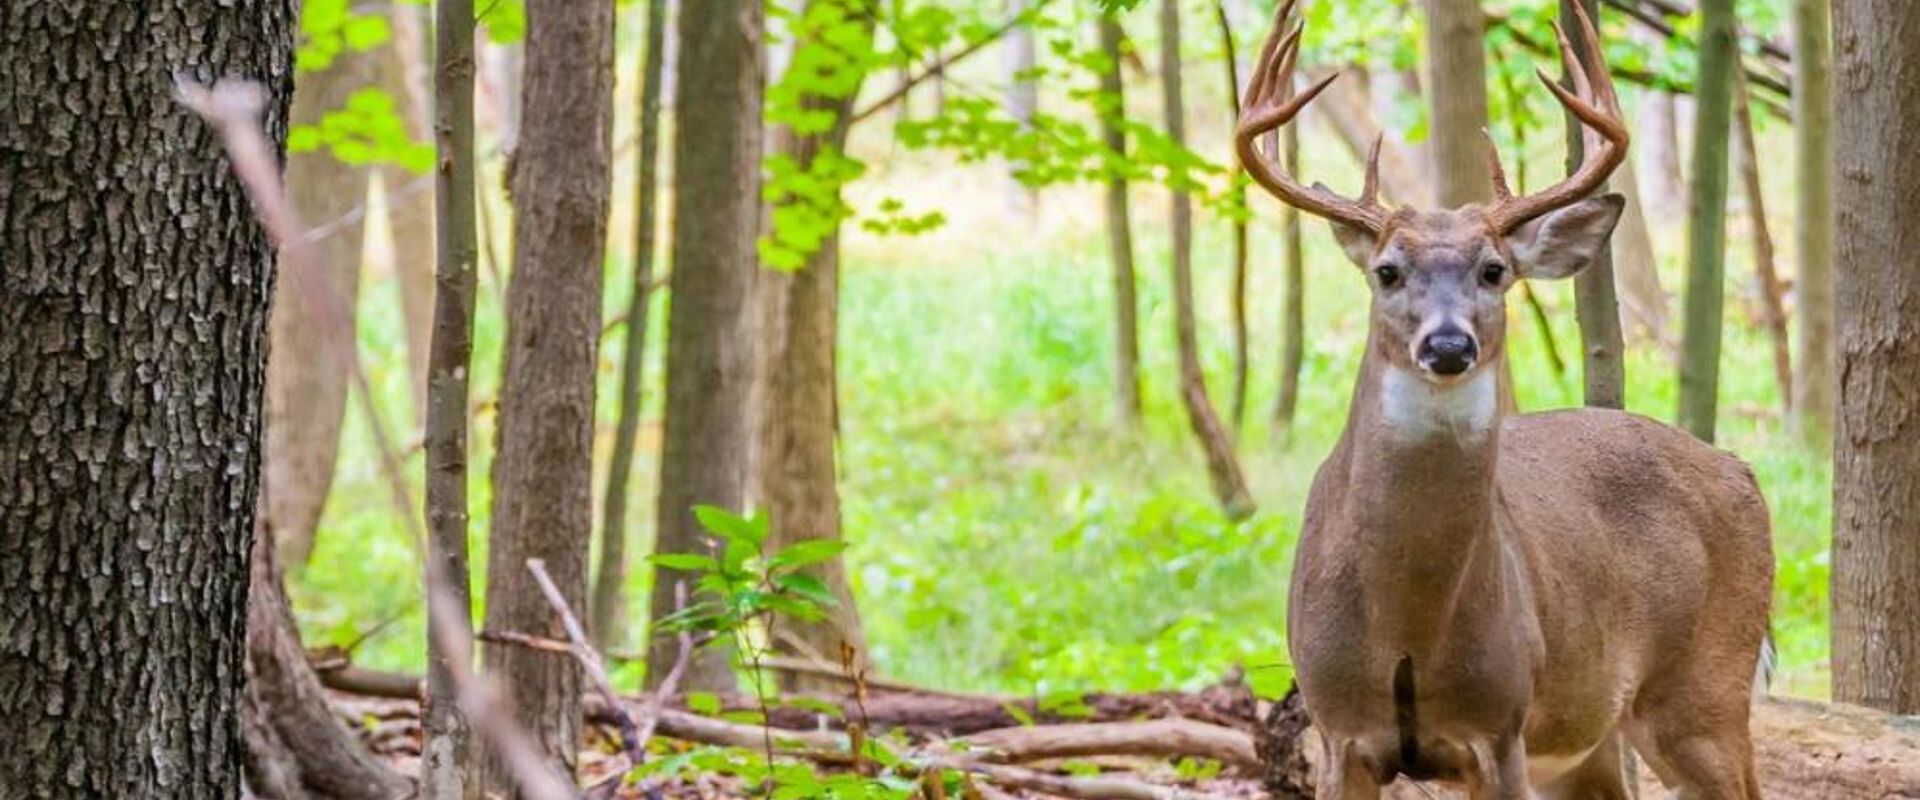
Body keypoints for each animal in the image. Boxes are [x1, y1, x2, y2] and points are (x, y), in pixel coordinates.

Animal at [1235, 4, 1774, 799]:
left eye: (1494, 270)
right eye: (1387, 271)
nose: (1447, 345)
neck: (1406, 625)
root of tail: (1741, 467)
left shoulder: (1500, 722)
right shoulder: (1336, 727)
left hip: (1706, 686)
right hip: (1594, 737)